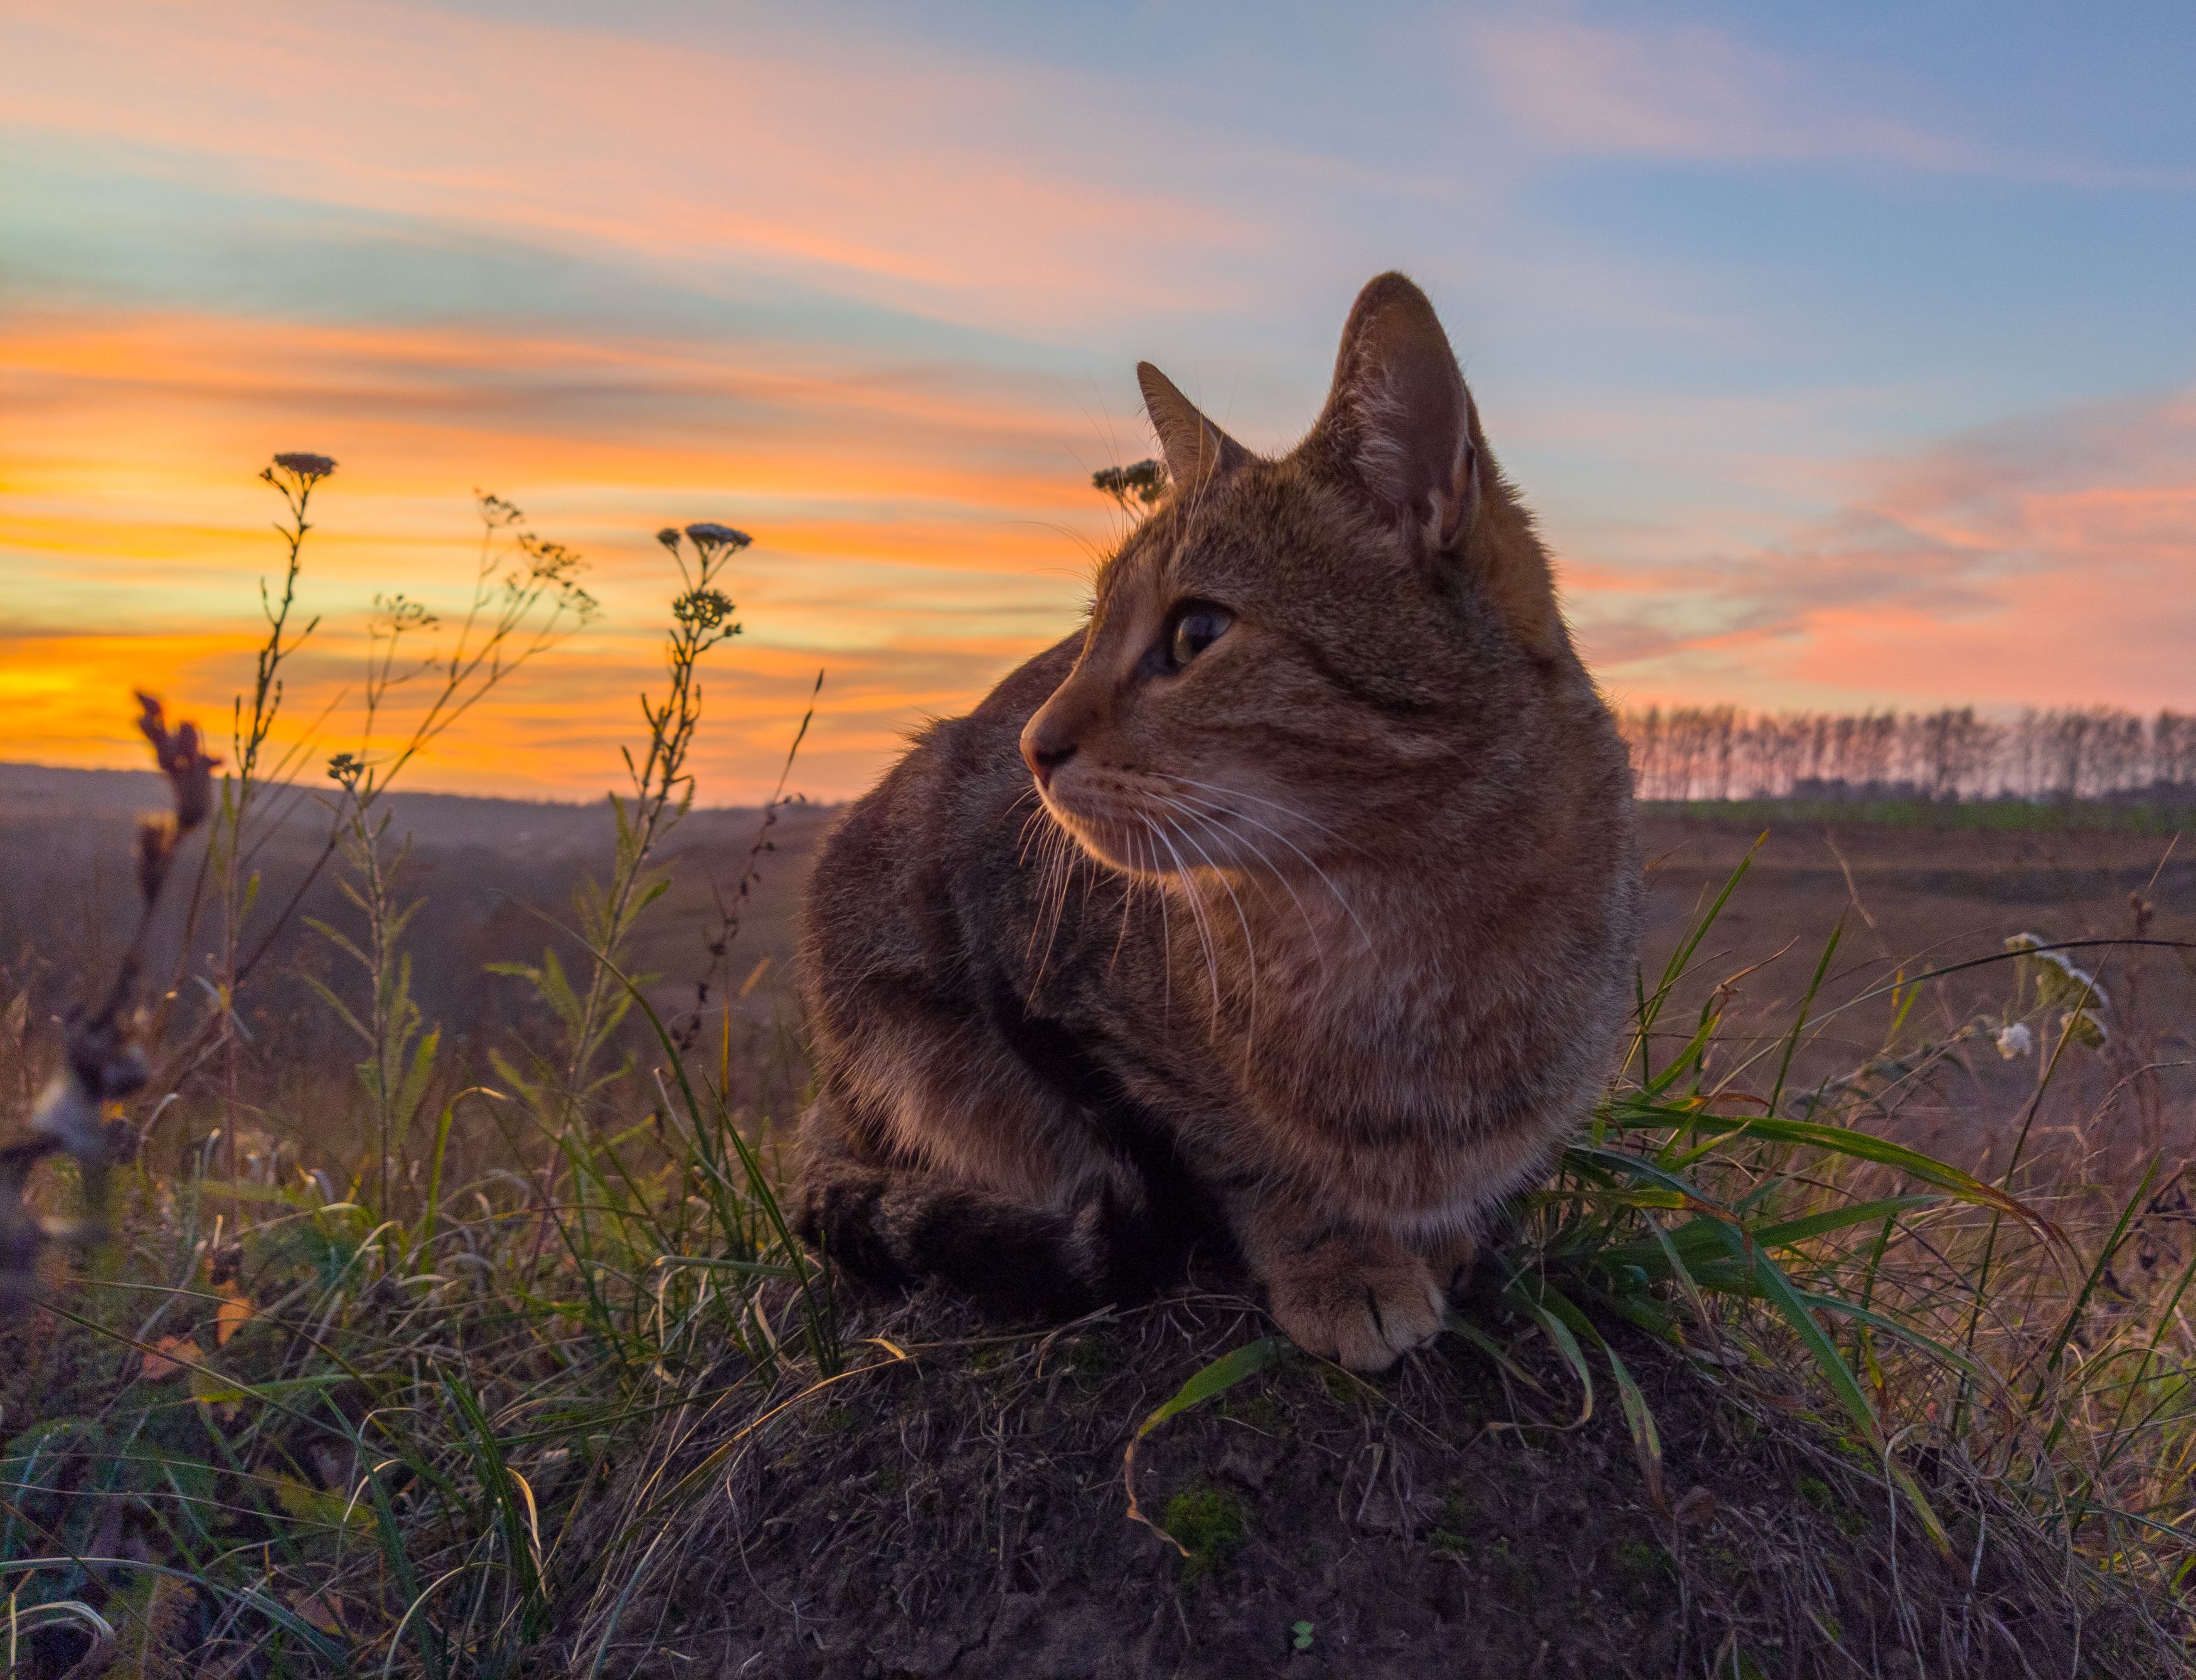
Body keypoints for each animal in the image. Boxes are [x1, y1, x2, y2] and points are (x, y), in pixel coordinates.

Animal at [799, 275, 1643, 1370]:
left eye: (1198, 631)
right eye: (1090, 627)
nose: (1031, 744)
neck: (1408, 924)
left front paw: (1440, 1237)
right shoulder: (1051, 986)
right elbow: (1237, 1149)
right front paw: (1341, 1258)